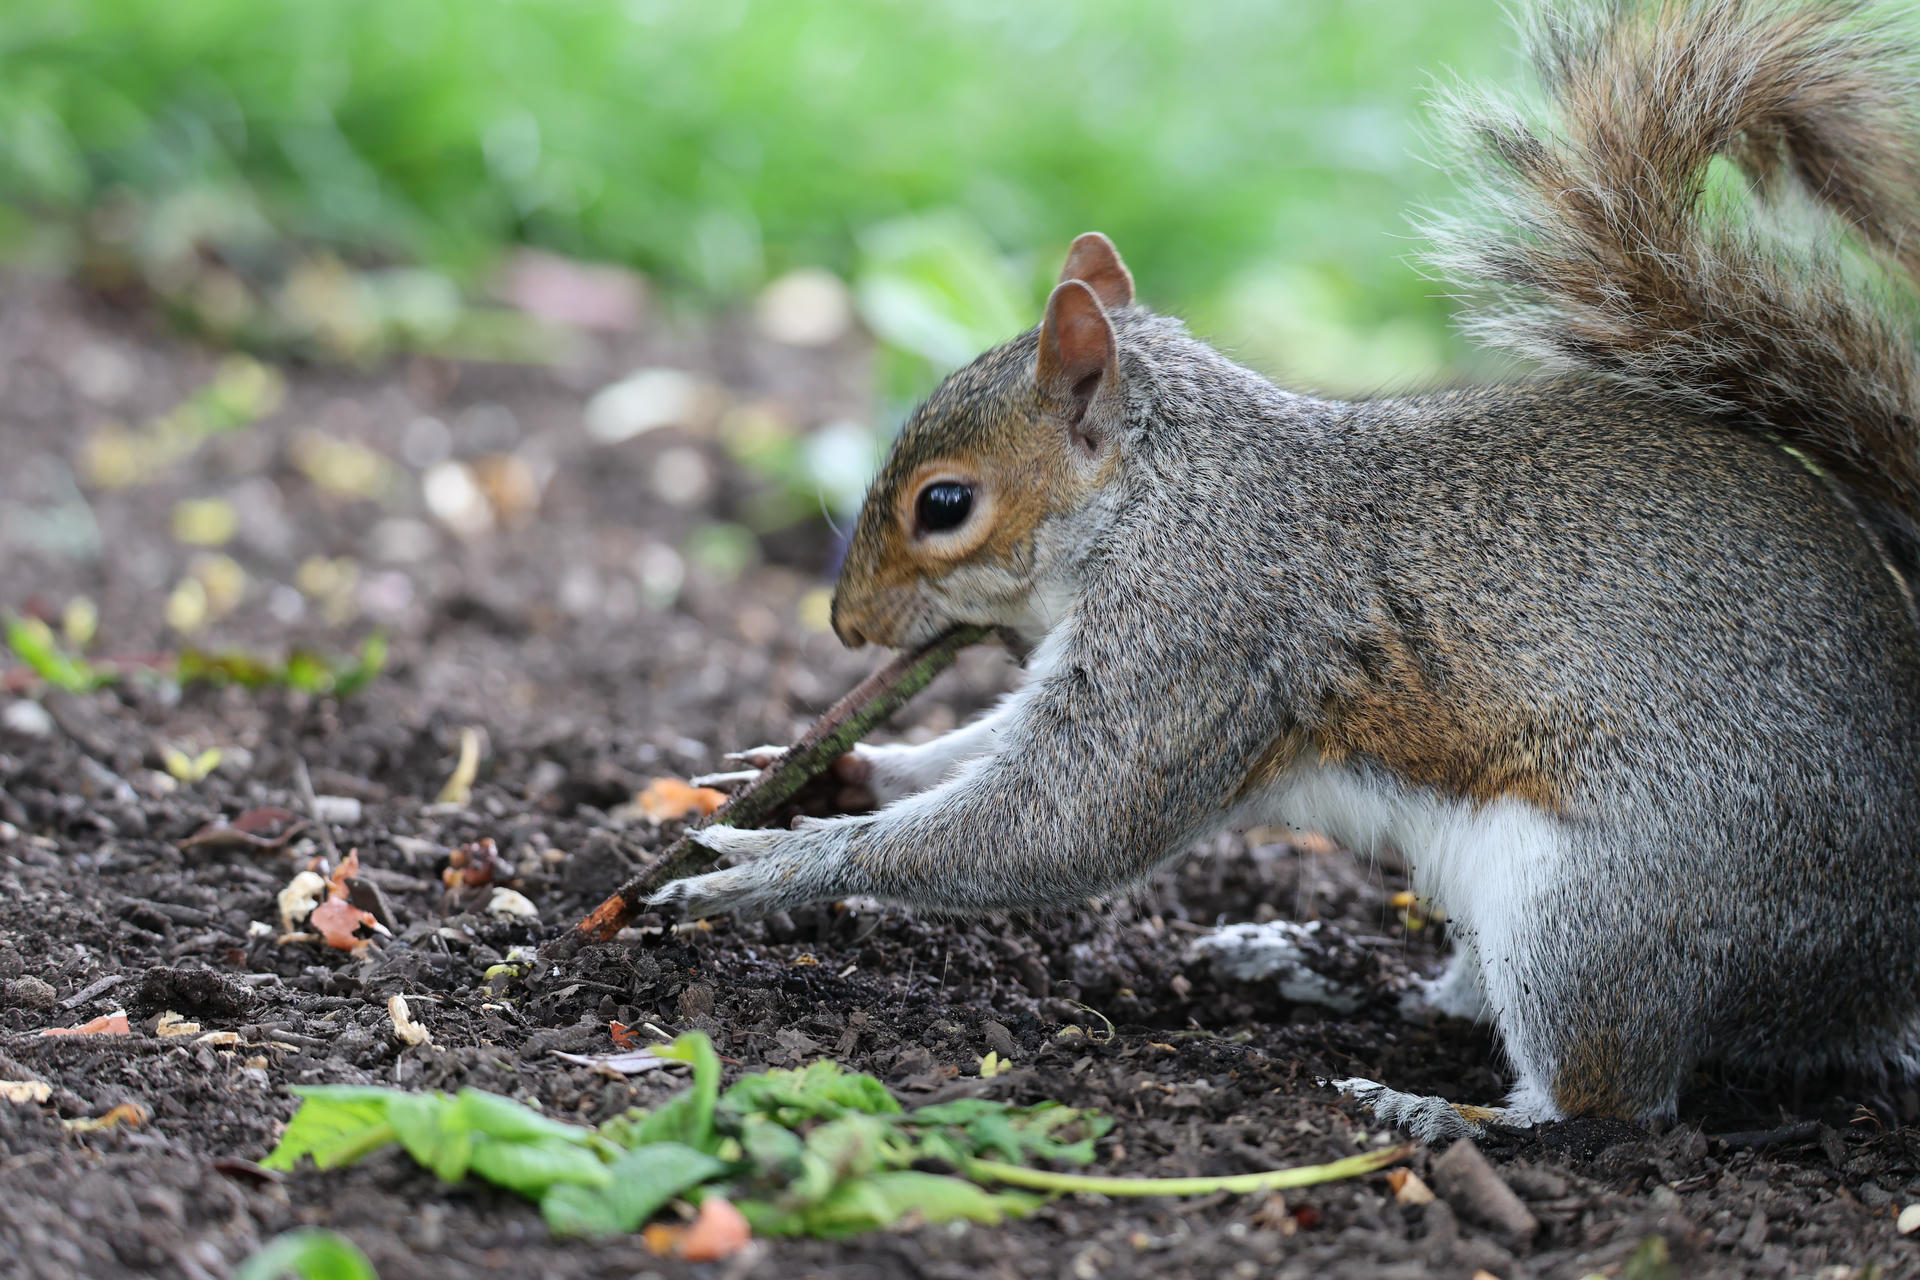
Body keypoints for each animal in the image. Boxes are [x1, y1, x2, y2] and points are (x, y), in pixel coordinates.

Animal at [653, 0, 1920, 1141]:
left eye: (945, 505)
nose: (848, 624)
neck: (1170, 492)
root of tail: (1884, 968)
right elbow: (983, 749)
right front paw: (841, 764)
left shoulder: (1203, 631)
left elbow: (1062, 821)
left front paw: (770, 863)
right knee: (1466, 1002)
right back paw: (1308, 968)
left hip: (1607, 913)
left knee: (1613, 1107)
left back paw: (1436, 1109)